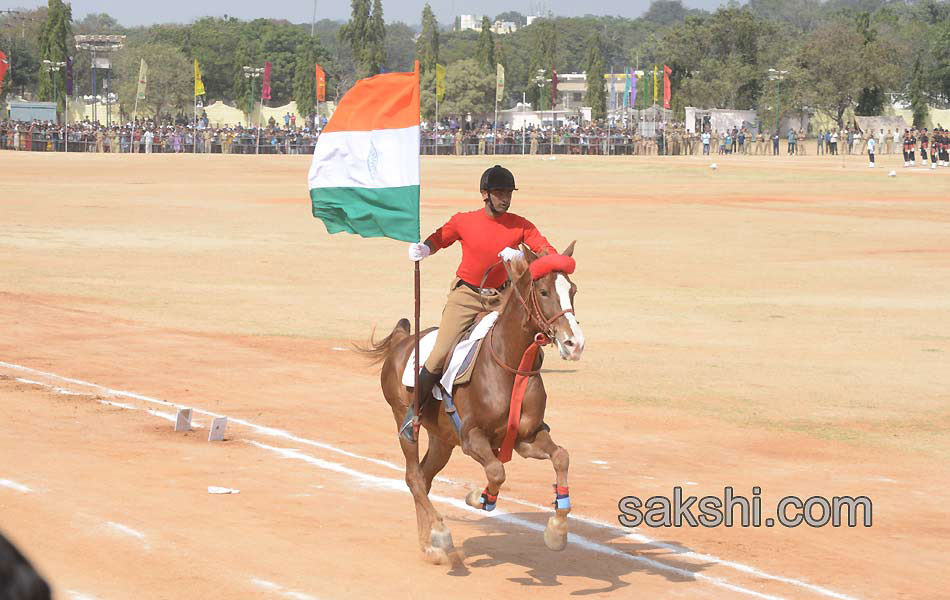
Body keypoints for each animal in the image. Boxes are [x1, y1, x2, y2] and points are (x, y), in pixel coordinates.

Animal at [356, 241, 584, 564]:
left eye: (572, 289)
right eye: (543, 292)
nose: (574, 344)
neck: (510, 366)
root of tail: (402, 342)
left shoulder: (526, 437)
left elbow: (561, 456)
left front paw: (557, 530)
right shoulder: (472, 437)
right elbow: (497, 472)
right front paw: (479, 498)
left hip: (442, 440)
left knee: (423, 477)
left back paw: (428, 543)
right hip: (405, 423)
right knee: (413, 477)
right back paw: (439, 535)